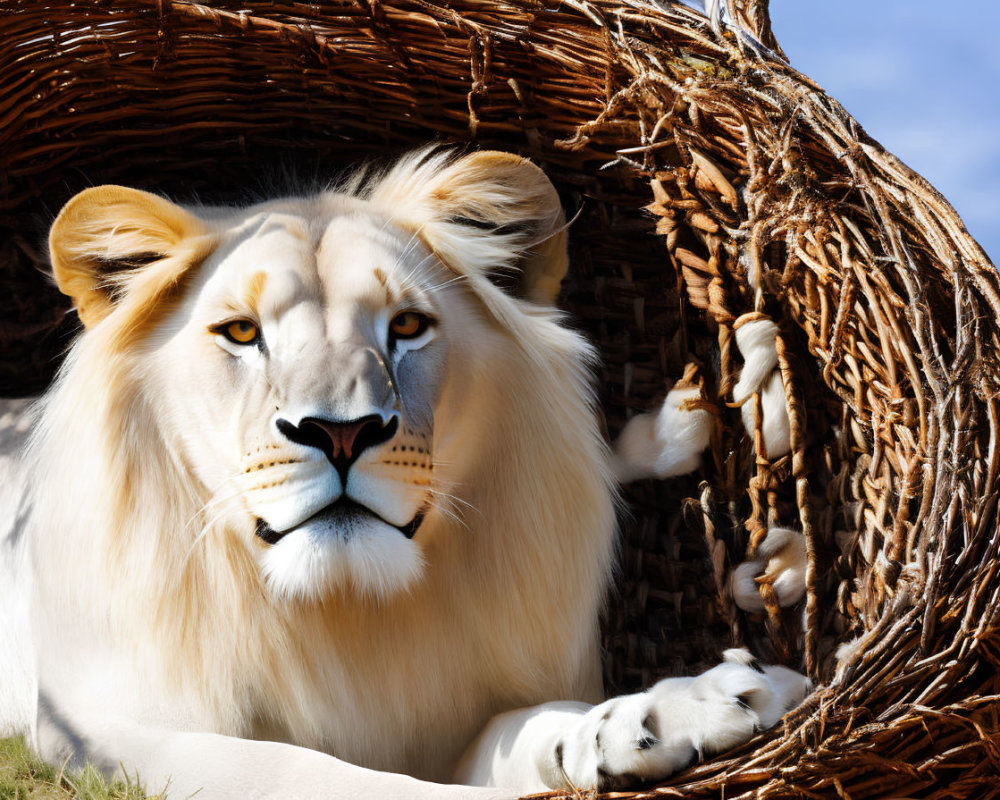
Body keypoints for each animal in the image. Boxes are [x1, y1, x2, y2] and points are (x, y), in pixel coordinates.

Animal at [0, 147, 808, 796]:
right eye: (241, 332)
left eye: (409, 327)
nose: (340, 432)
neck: (348, 612)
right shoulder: (87, 733)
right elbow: (310, 772)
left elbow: (530, 724)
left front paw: (671, 712)